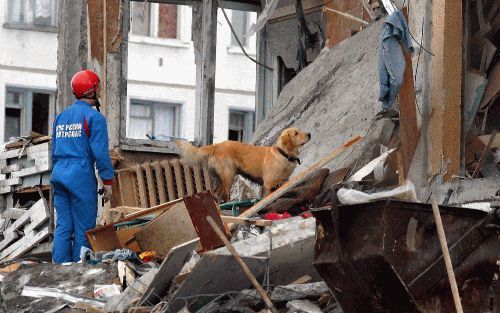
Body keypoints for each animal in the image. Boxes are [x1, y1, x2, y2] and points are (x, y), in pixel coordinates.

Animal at [175, 127, 308, 202]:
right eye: (296, 133)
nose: (309, 134)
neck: (283, 154)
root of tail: (216, 145)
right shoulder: (268, 184)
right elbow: (266, 197)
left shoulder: (284, 181)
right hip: (229, 175)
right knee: (224, 194)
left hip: (221, 178)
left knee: (216, 194)